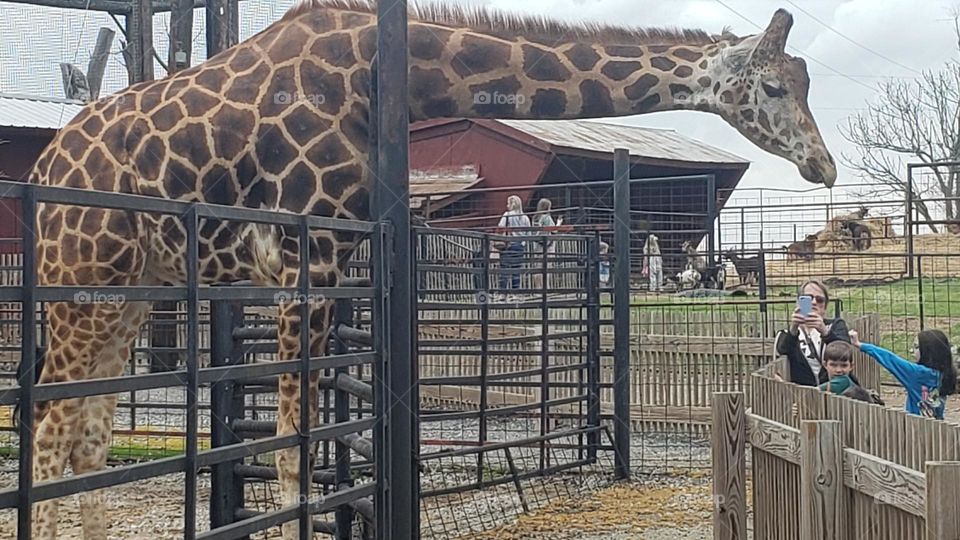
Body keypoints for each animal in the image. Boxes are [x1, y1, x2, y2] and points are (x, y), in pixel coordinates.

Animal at [20, 2, 832, 536]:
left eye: (803, 83)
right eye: (771, 87)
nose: (822, 165)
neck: (382, 78)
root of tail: (46, 165)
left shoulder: (339, 256)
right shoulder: (304, 255)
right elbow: (291, 462)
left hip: (130, 291)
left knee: (86, 437)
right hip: (79, 286)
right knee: (49, 434)